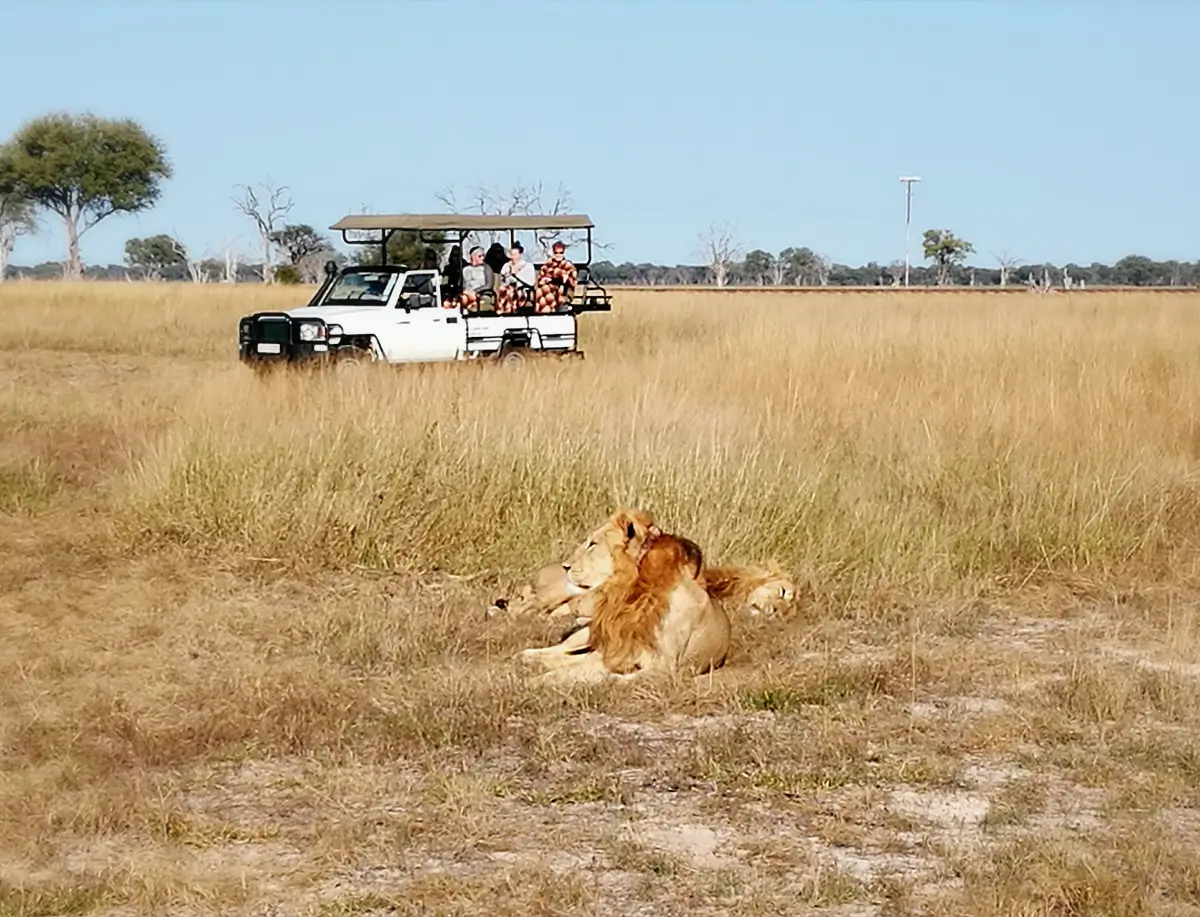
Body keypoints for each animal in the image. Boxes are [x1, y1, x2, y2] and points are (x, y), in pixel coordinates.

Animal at [519, 514, 732, 687]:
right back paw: (527, 656)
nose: (565, 566)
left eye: (593, 544)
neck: (632, 592)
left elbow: (609, 676)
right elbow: (574, 667)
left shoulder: (664, 669)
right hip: (589, 633)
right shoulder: (615, 652)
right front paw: (537, 680)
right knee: (563, 650)